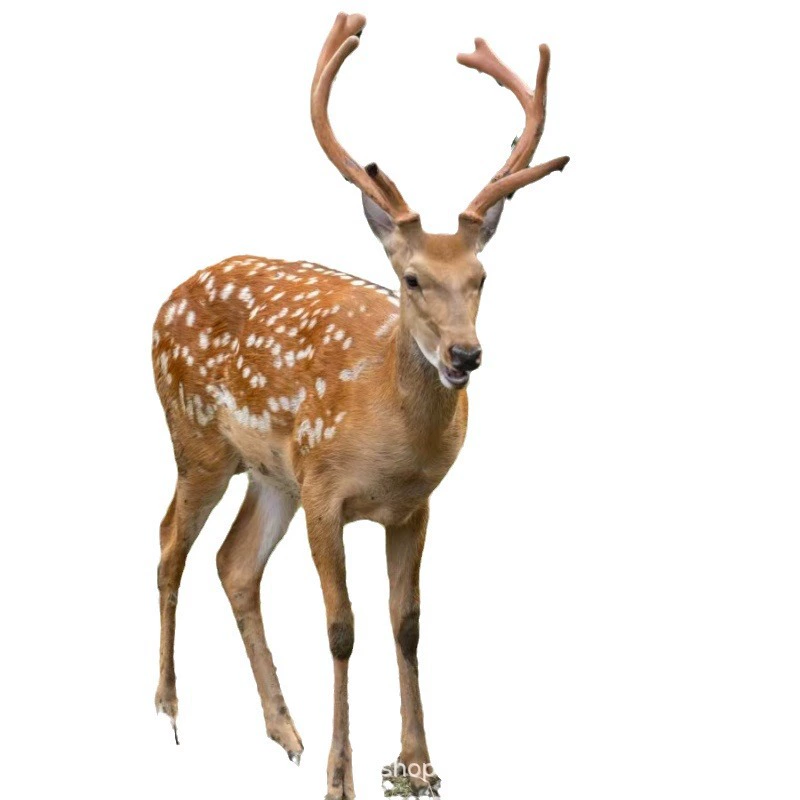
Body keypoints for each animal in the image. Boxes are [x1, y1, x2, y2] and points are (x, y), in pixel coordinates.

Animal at [151, 11, 568, 799]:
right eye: (411, 278)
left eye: (481, 277)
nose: (465, 356)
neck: (387, 427)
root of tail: (164, 302)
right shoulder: (325, 490)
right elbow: (341, 629)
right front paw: (341, 778)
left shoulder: (412, 506)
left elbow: (407, 623)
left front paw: (419, 767)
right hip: (197, 442)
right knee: (169, 547)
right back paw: (169, 709)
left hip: (270, 475)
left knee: (234, 564)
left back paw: (285, 731)